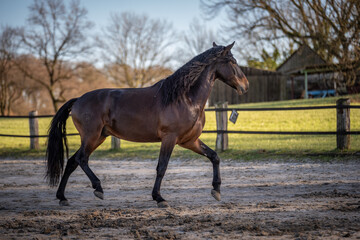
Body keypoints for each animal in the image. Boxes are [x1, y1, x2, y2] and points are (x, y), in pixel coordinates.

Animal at [45, 41, 248, 208]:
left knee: (72, 162)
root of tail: (78, 100)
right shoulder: (169, 138)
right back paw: (98, 189)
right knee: (81, 159)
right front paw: (159, 198)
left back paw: (62, 197)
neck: (185, 97)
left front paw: (216, 191)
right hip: (91, 136)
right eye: (233, 61)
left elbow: (214, 156)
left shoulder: (189, 141)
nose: (245, 86)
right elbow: (162, 167)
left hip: (98, 137)